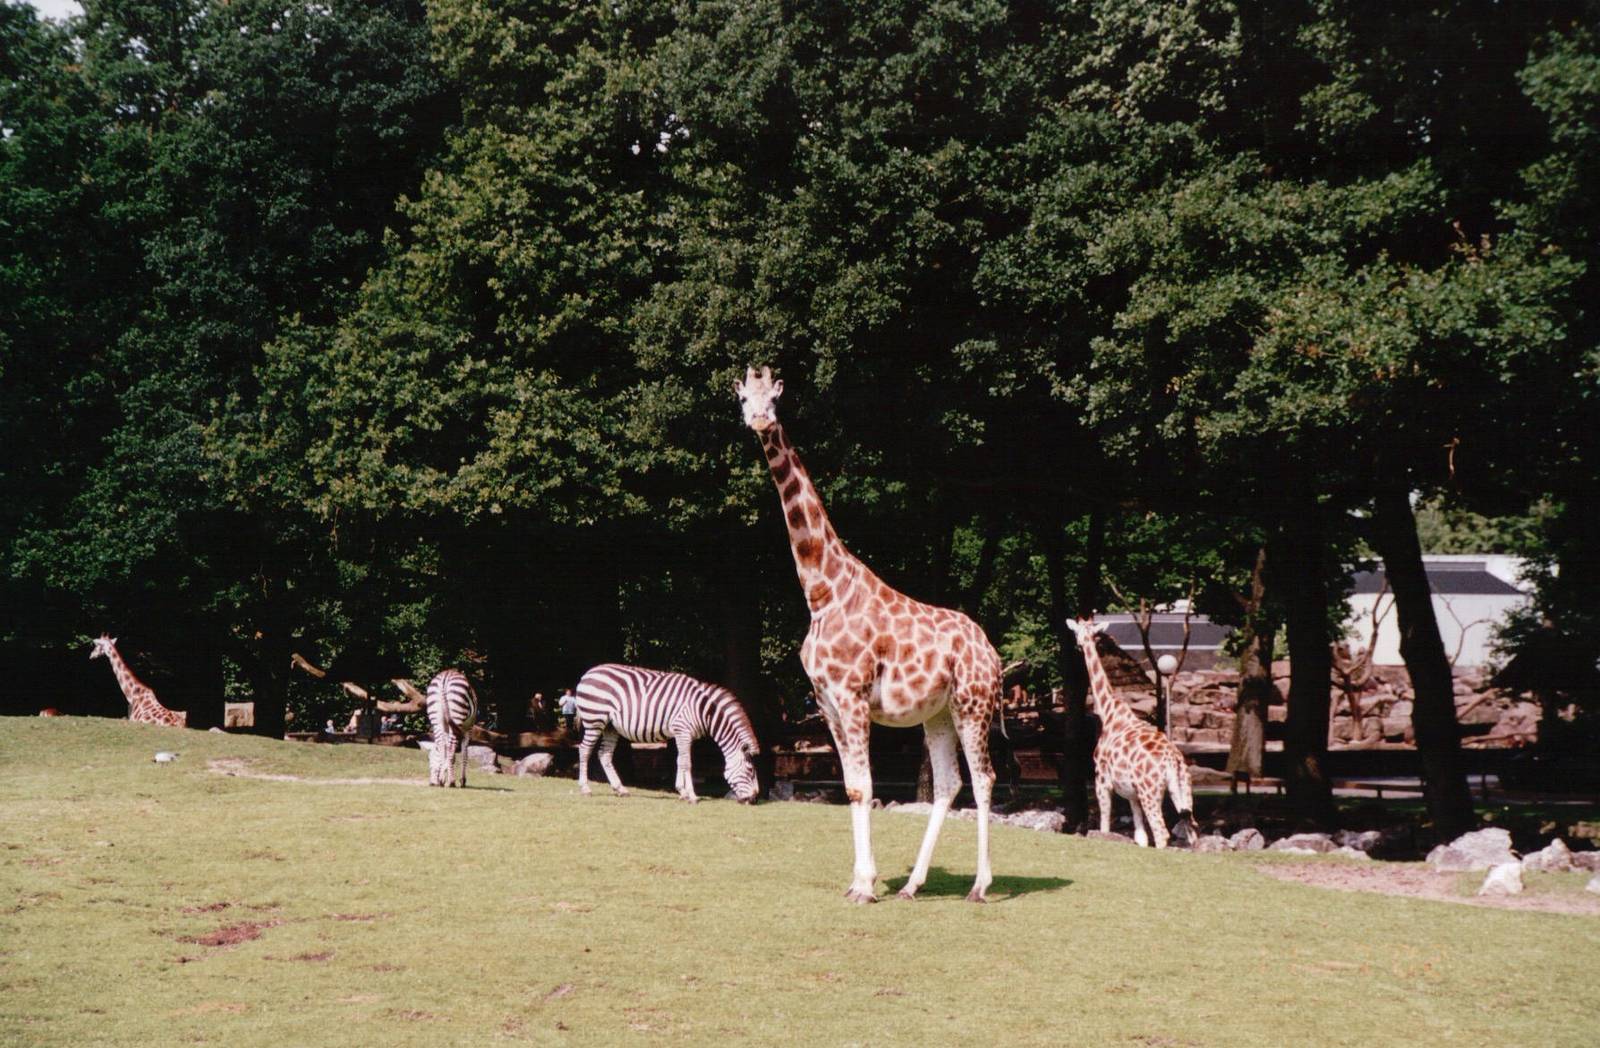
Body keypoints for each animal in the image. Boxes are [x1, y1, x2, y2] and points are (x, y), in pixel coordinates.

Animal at [574, 664, 760, 803]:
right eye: (750, 770)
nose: (755, 799)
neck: (703, 710)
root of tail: (587, 673)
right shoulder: (683, 731)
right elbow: (687, 763)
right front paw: (692, 795)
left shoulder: (682, 734)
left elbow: (679, 761)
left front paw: (682, 792)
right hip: (594, 721)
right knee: (584, 750)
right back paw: (585, 788)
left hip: (610, 727)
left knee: (604, 754)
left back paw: (620, 789)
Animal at [735, 366, 1002, 903]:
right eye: (743, 400)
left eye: (773, 399)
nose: (759, 421)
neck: (821, 590)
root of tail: (993, 653)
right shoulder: (826, 701)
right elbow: (853, 786)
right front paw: (862, 880)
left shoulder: (852, 694)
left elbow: (864, 786)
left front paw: (865, 885)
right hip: (938, 713)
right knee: (949, 784)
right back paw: (914, 885)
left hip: (973, 704)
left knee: (984, 778)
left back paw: (980, 885)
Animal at [1067, 618, 1195, 848]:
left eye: (1077, 631)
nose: (1078, 645)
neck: (1109, 712)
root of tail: (1173, 761)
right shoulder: (1132, 794)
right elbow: (1141, 837)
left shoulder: (1102, 780)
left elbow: (1104, 827)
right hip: (1182, 788)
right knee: (1191, 831)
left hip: (1150, 791)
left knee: (1161, 833)